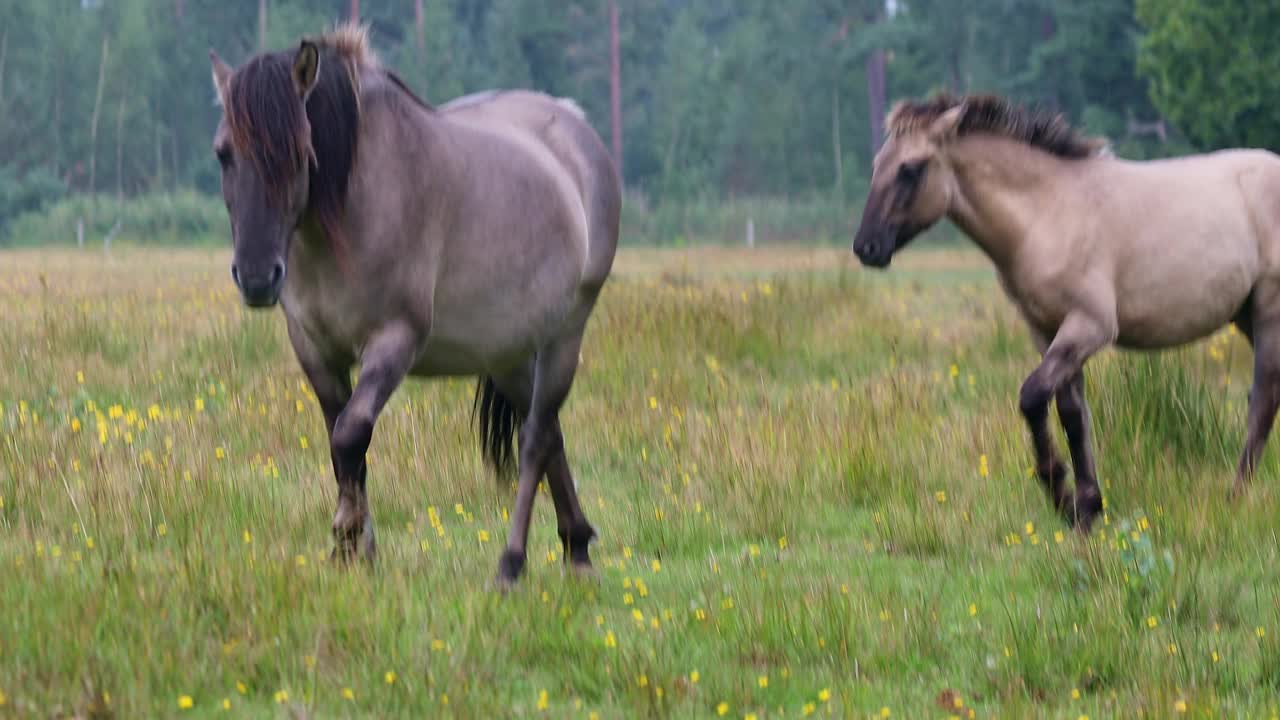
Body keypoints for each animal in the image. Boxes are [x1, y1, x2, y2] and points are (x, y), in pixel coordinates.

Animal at [208, 25, 619, 584]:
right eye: (223, 153)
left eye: (300, 152)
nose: (255, 276)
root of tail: (578, 128)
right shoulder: (314, 348)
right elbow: (340, 442)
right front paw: (356, 549)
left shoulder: (395, 339)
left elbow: (351, 434)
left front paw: (347, 536)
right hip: (509, 352)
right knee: (548, 432)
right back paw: (577, 546)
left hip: (565, 335)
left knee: (535, 438)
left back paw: (511, 564)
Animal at [855, 94, 1280, 527]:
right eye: (878, 164)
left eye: (910, 169)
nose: (866, 247)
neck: (1047, 214)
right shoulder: (1048, 331)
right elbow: (1072, 413)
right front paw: (1088, 506)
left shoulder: (1090, 327)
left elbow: (1032, 397)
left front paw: (1060, 492)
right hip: (1245, 315)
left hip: (1269, 309)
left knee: (1263, 400)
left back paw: (1234, 497)